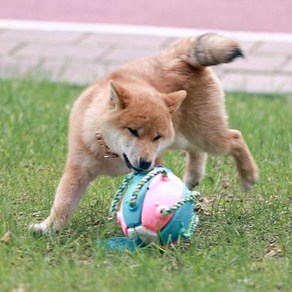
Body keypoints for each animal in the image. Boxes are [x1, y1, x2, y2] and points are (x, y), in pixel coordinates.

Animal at [29, 32, 258, 233]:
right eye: (133, 131)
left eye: (156, 136)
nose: (146, 163)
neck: (110, 155)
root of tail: (178, 55)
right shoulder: (78, 169)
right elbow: (64, 202)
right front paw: (49, 227)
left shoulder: (156, 159)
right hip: (182, 137)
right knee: (197, 151)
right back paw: (192, 176)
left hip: (203, 136)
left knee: (235, 138)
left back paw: (248, 176)